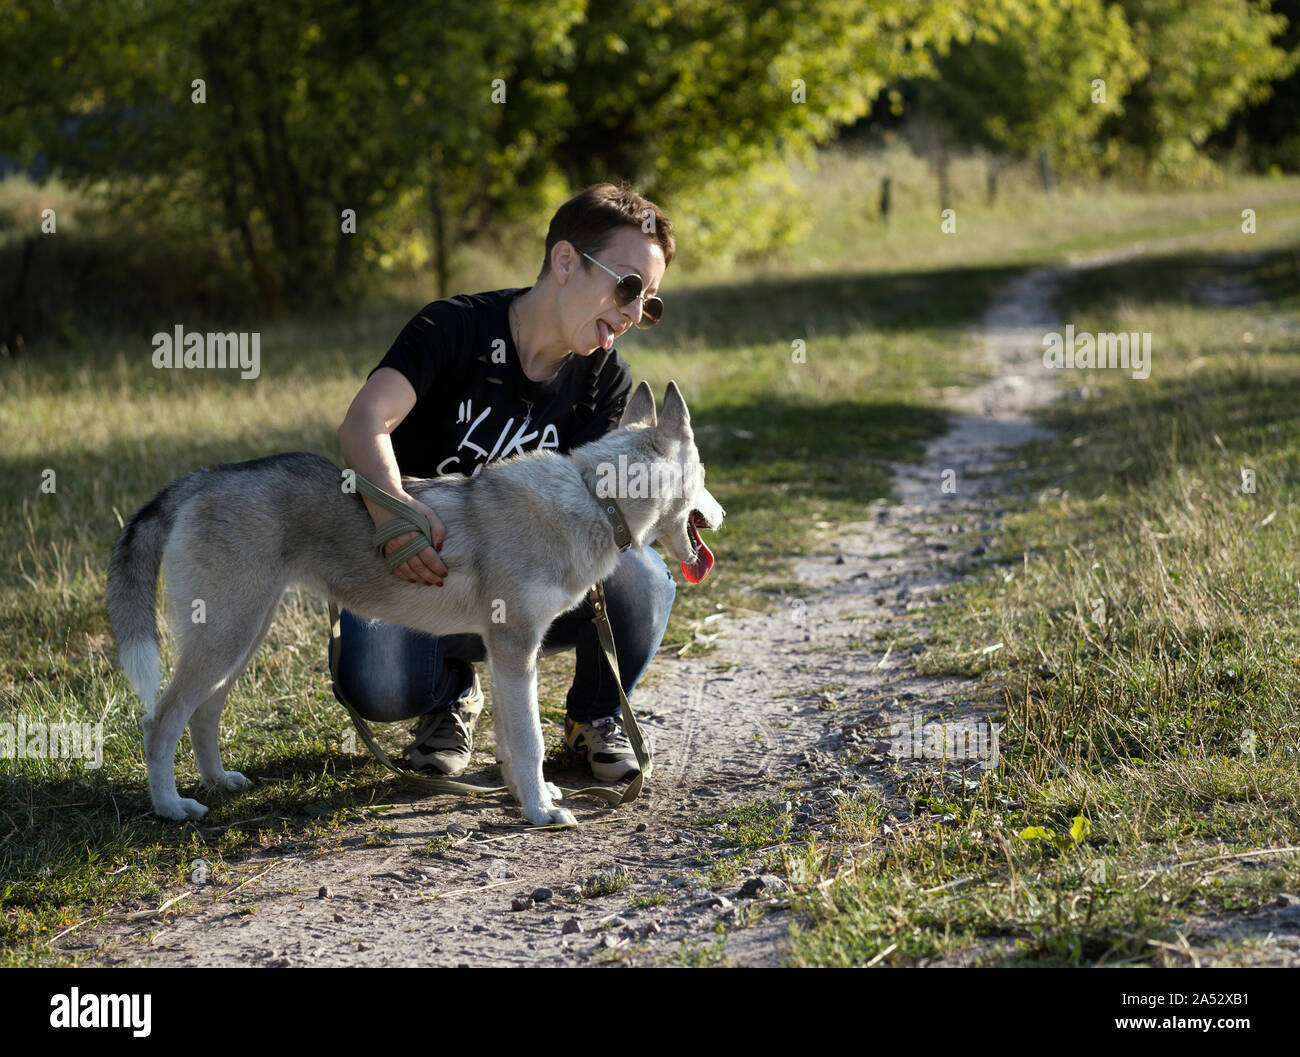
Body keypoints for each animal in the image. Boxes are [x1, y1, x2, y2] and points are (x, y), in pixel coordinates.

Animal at [107, 379, 722, 826]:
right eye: (704, 475)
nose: (720, 515)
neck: (595, 497)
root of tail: (199, 480)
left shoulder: (506, 657)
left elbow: (513, 742)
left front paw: (529, 796)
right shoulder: (515, 649)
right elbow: (530, 740)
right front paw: (540, 812)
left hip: (238, 638)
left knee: (202, 714)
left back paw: (218, 782)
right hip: (226, 637)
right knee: (160, 721)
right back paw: (171, 807)